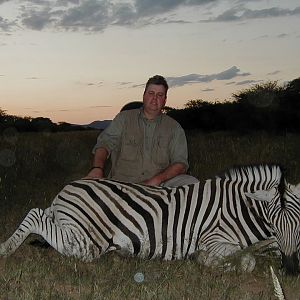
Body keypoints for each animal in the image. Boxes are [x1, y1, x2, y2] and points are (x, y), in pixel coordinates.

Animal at [0, 164, 298, 274]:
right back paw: (5, 249)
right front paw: (207, 261)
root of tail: (67, 189)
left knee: (40, 215)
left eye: (299, 226)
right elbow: (246, 262)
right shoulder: (212, 239)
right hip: (87, 243)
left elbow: (259, 252)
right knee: (35, 214)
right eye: (277, 223)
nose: (293, 270)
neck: (239, 209)